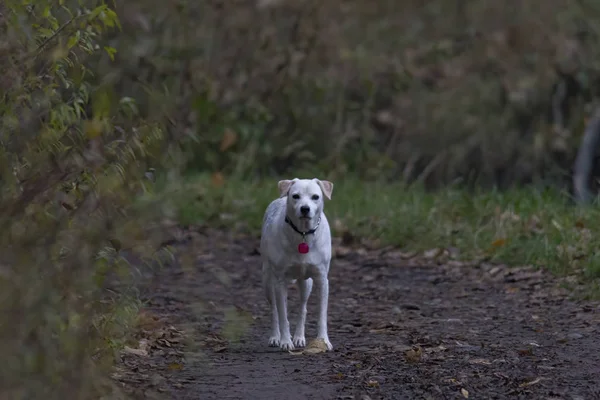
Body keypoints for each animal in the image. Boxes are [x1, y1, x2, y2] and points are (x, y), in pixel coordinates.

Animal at [258, 177, 332, 350]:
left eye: (315, 197)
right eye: (295, 196)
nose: (305, 208)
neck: (303, 234)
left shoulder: (322, 280)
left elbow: (322, 315)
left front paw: (324, 340)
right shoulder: (280, 282)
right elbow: (282, 314)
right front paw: (285, 341)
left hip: (306, 283)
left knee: (302, 307)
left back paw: (299, 337)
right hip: (267, 281)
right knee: (274, 310)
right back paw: (275, 337)